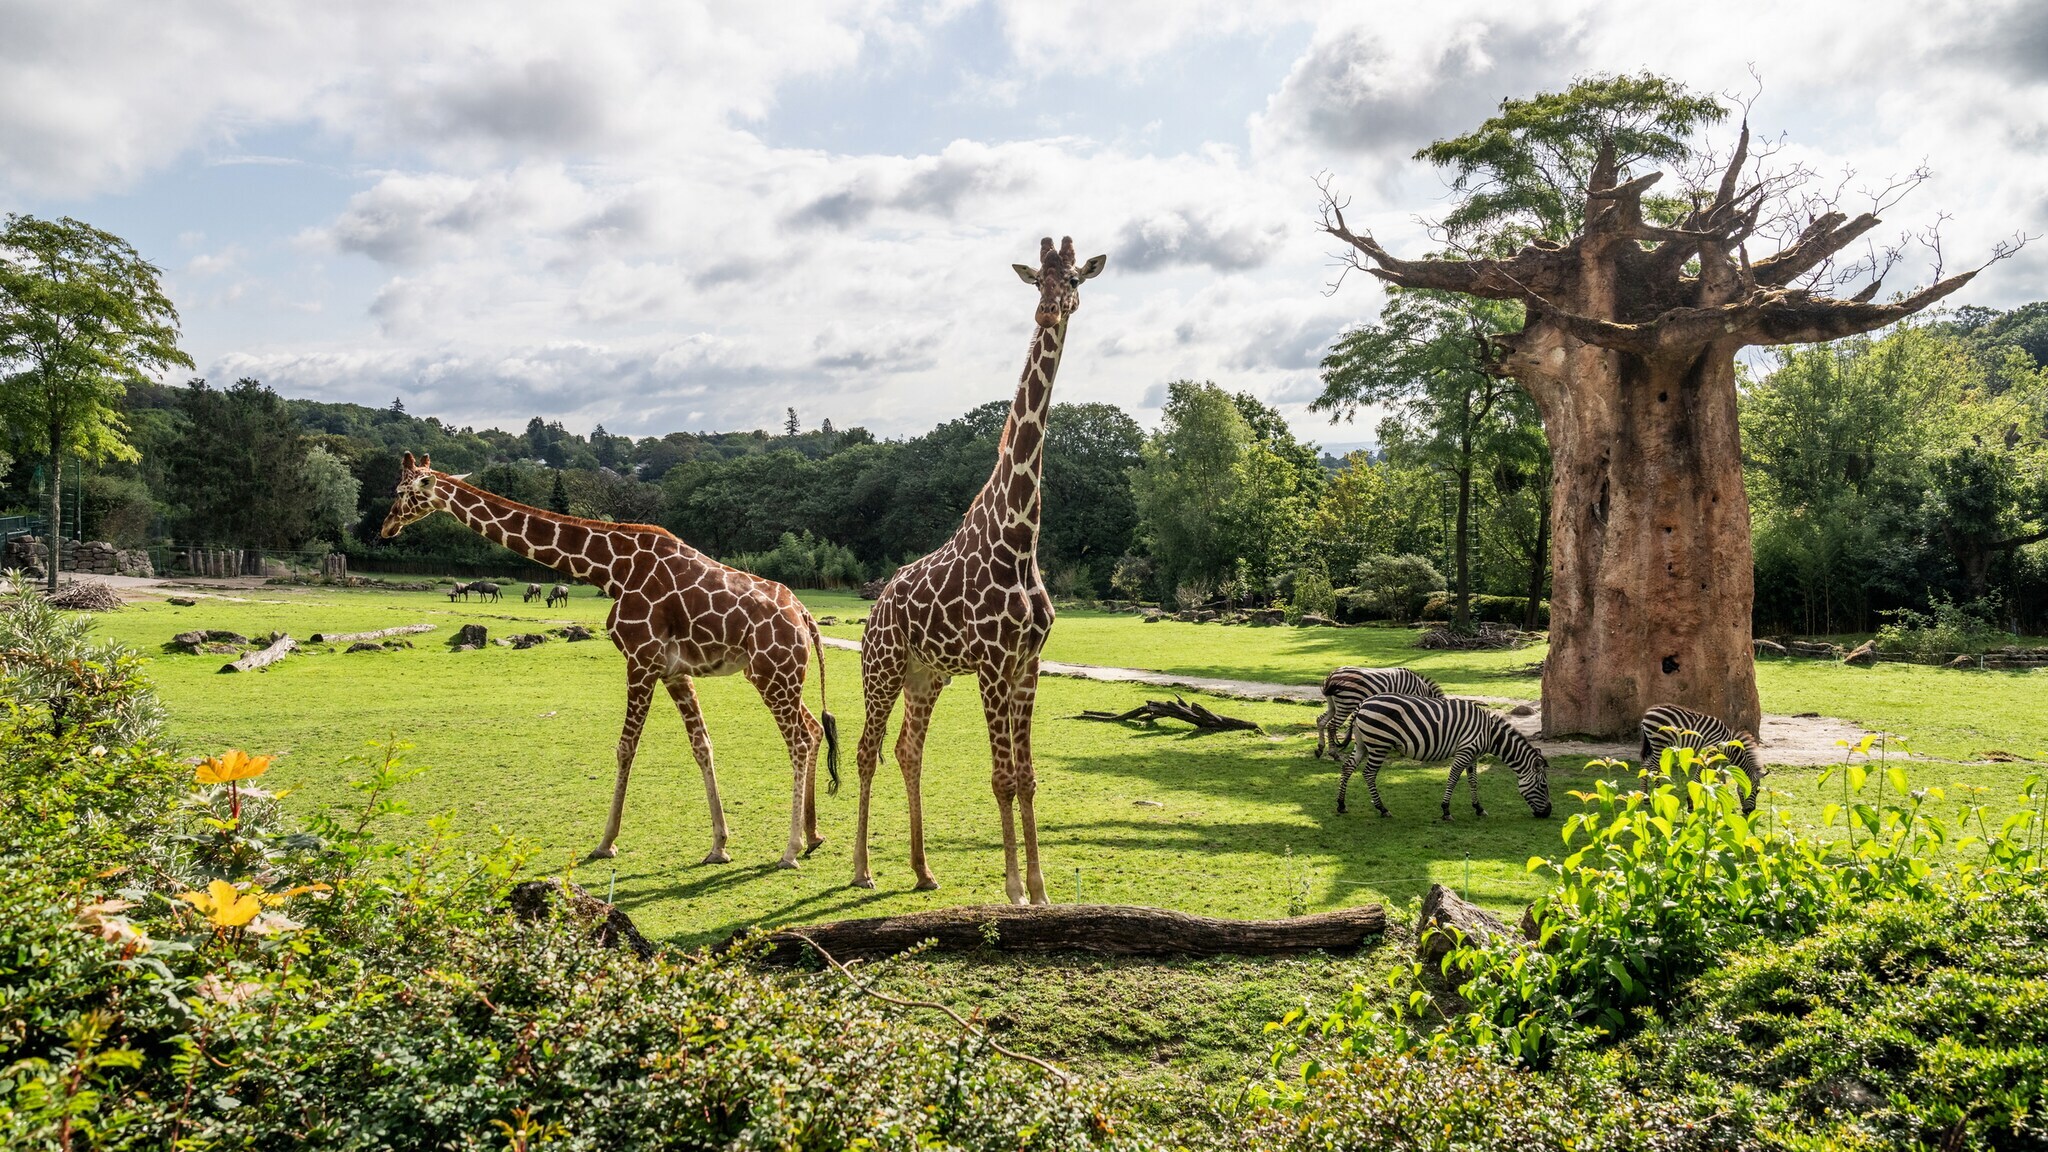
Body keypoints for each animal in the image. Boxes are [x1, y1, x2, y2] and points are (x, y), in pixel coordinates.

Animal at [1313, 667, 1444, 758]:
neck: (1421, 691)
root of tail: (1332, 675)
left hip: (1332, 705)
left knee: (1321, 721)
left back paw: (1320, 749)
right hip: (1346, 704)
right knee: (1331, 726)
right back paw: (1333, 753)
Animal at [1336, 696, 1552, 820]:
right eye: (1543, 786)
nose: (1548, 812)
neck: (1489, 734)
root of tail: (1362, 704)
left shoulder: (1473, 756)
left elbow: (1473, 781)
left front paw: (1478, 808)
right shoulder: (1465, 751)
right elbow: (1454, 778)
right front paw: (1446, 810)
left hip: (1363, 743)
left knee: (1348, 767)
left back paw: (1341, 804)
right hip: (1379, 744)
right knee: (1368, 774)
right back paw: (1382, 809)